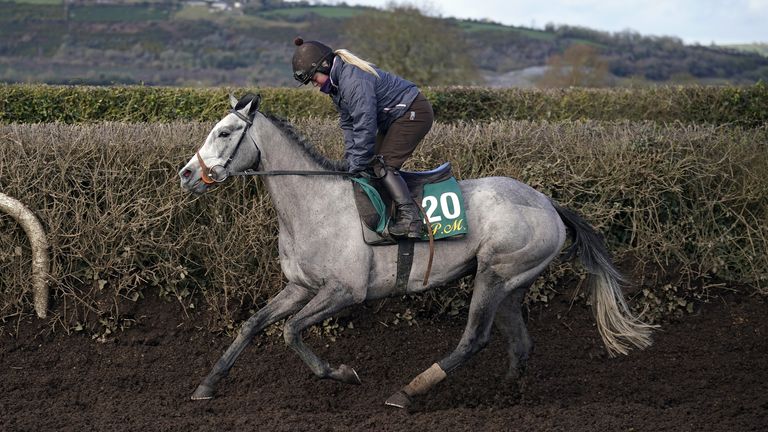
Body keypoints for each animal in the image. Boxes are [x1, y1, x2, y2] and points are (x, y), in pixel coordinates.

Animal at [180, 94, 656, 408]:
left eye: (224, 132)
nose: (186, 174)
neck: (313, 204)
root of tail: (549, 205)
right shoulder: (301, 286)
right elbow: (252, 325)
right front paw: (206, 386)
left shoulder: (345, 291)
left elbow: (290, 331)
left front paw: (340, 373)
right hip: (511, 283)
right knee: (520, 343)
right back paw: (507, 394)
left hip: (495, 273)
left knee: (474, 339)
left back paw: (408, 392)